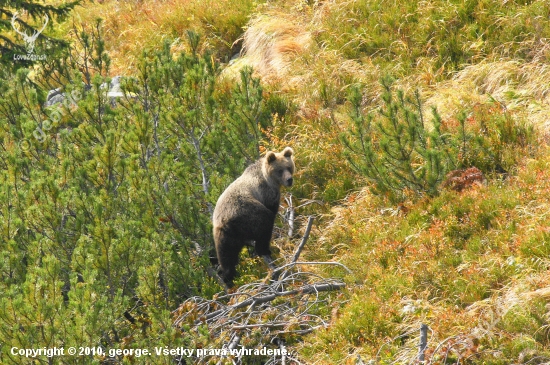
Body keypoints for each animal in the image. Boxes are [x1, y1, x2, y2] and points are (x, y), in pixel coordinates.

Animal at [213, 146, 296, 286]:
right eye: (280, 170)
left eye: (289, 167)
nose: (289, 180)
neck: (269, 178)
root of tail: (225, 220)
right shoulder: (267, 191)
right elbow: (271, 208)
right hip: (246, 212)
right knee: (265, 221)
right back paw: (264, 249)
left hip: (224, 236)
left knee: (226, 256)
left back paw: (227, 277)